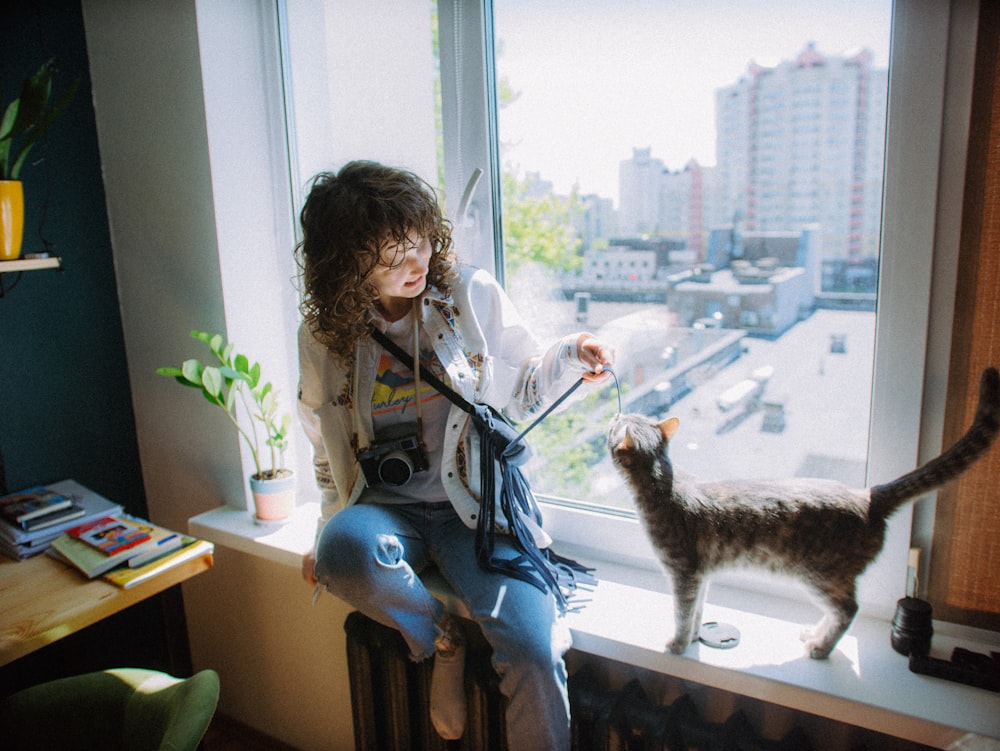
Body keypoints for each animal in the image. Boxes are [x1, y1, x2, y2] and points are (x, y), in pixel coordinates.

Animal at [604, 368, 1000, 660]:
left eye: (615, 424)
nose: (614, 413)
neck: (665, 486)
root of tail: (869, 496)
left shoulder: (684, 573)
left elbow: (683, 613)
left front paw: (677, 643)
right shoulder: (701, 576)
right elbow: (699, 611)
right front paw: (695, 635)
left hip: (820, 574)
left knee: (848, 609)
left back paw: (820, 646)